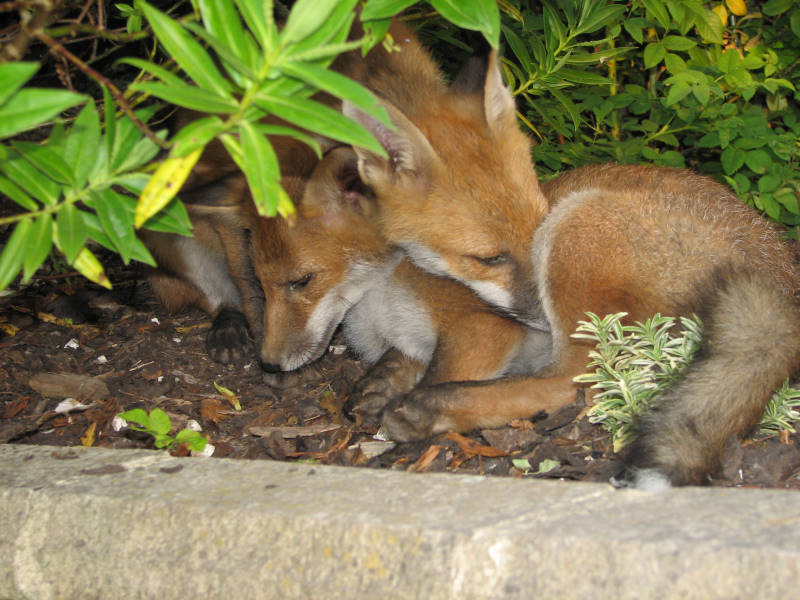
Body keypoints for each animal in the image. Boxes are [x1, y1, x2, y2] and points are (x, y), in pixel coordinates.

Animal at [342, 24, 800, 487]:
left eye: (536, 225)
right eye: (490, 259)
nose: (543, 323)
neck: (380, 293)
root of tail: (779, 276)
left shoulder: (480, 330)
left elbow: (444, 368)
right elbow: (397, 363)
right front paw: (381, 382)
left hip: (576, 233)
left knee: (575, 382)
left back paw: (431, 409)